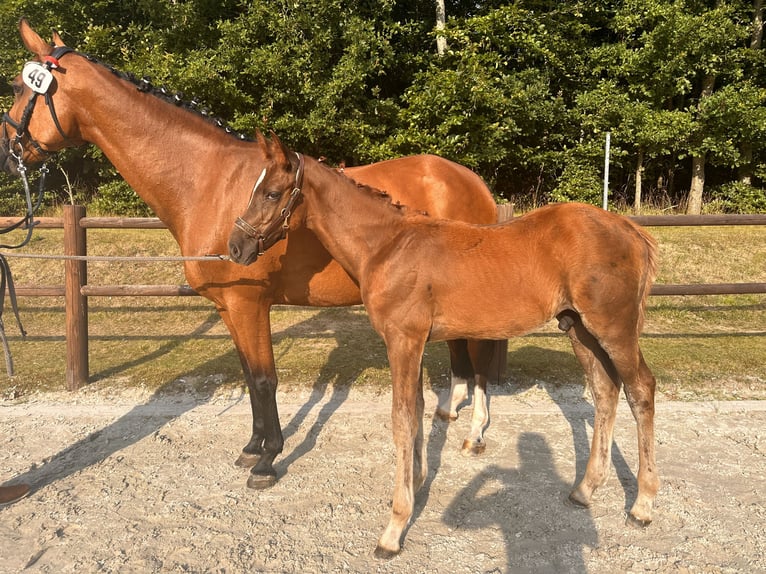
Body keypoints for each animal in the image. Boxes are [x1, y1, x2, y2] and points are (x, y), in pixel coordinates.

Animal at [0, 21, 504, 487]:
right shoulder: (228, 306)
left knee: (479, 361)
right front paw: (252, 447)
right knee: (461, 354)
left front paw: (268, 460)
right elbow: (248, 375)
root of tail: (472, 181)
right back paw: (450, 414)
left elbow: (264, 379)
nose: (8, 154)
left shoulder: (248, 302)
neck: (208, 182)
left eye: (22, 88)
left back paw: (476, 434)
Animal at [227, 139, 660, 558]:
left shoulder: (402, 340)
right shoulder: (413, 343)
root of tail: (632, 231)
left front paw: (394, 528)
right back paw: (585, 489)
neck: (387, 245)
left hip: (614, 329)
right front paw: (417, 481)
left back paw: (642, 506)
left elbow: (402, 418)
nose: (236, 247)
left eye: (271, 192)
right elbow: (418, 411)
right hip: (579, 329)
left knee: (641, 389)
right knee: (605, 390)